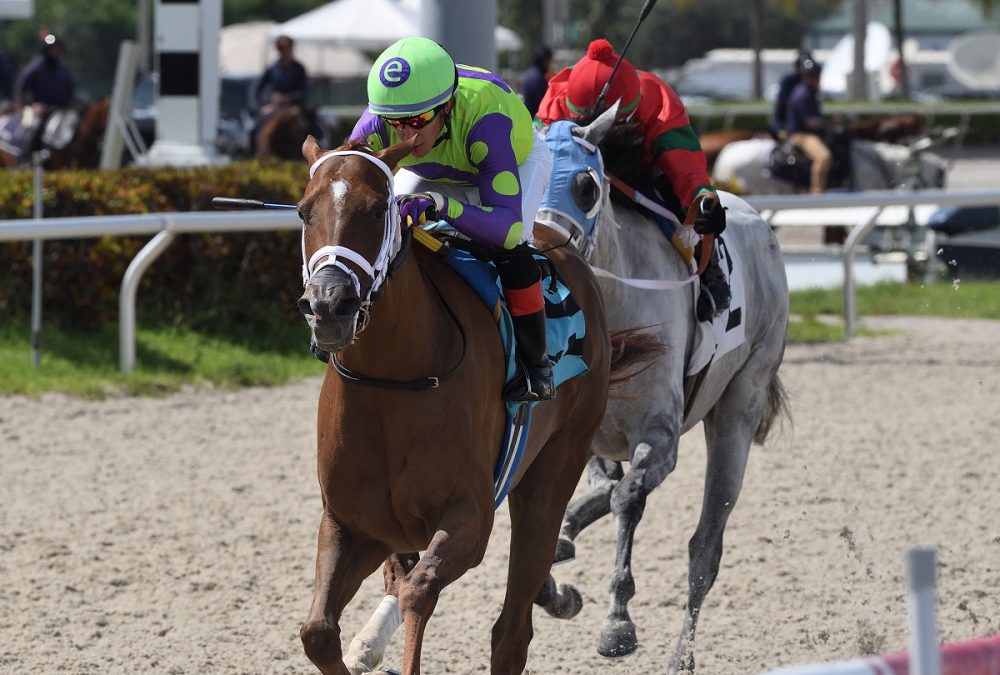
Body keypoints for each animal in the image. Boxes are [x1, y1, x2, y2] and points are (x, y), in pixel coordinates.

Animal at [292, 133, 660, 675]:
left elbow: (419, 591)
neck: (391, 383)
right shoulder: (352, 525)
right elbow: (318, 631)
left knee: (512, 629)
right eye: (303, 211)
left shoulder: (469, 516)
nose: (328, 305)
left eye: (379, 208)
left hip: (553, 471)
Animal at [536, 105, 792, 672]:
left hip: (738, 408)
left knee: (705, 548)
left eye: (586, 187)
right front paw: (557, 580)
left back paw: (682, 655)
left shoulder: (660, 433)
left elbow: (629, 499)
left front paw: (617, 623)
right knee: (602, 489)